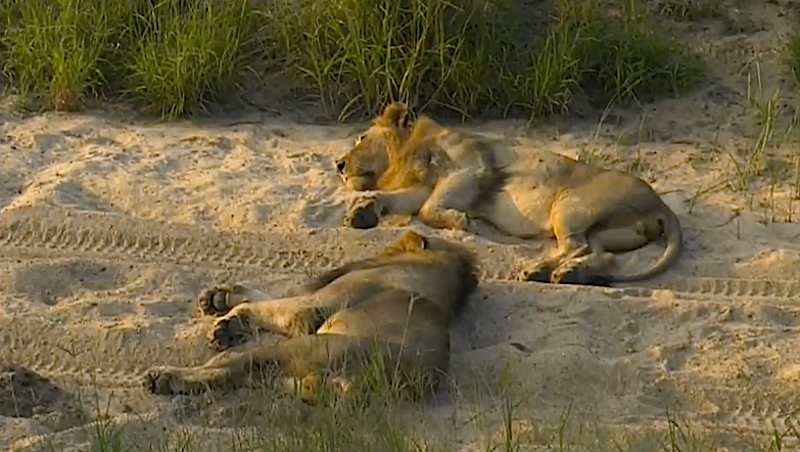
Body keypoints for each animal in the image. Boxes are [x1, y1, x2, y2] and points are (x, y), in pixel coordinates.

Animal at [144, 230, 477, 402]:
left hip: (306, 348)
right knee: (238, 376)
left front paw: (227, 316)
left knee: (228, 366)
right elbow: (267, 297)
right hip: (293, 379)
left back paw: (164, 377)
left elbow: (271, 304)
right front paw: (219, 299)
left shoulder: (311, 310)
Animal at [335, 102, 682, 285]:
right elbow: (400, 201)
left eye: (361, 138)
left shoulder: (471, 169)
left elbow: (428, 210)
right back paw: (566, 273)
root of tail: (660, 205)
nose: (338, 164)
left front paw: (462, 221)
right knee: (602, 255)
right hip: (604, 231)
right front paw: (362, 212)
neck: (409, 152)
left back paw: (540, 270)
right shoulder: (424, 187)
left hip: (569, 206)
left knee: (577, 246)